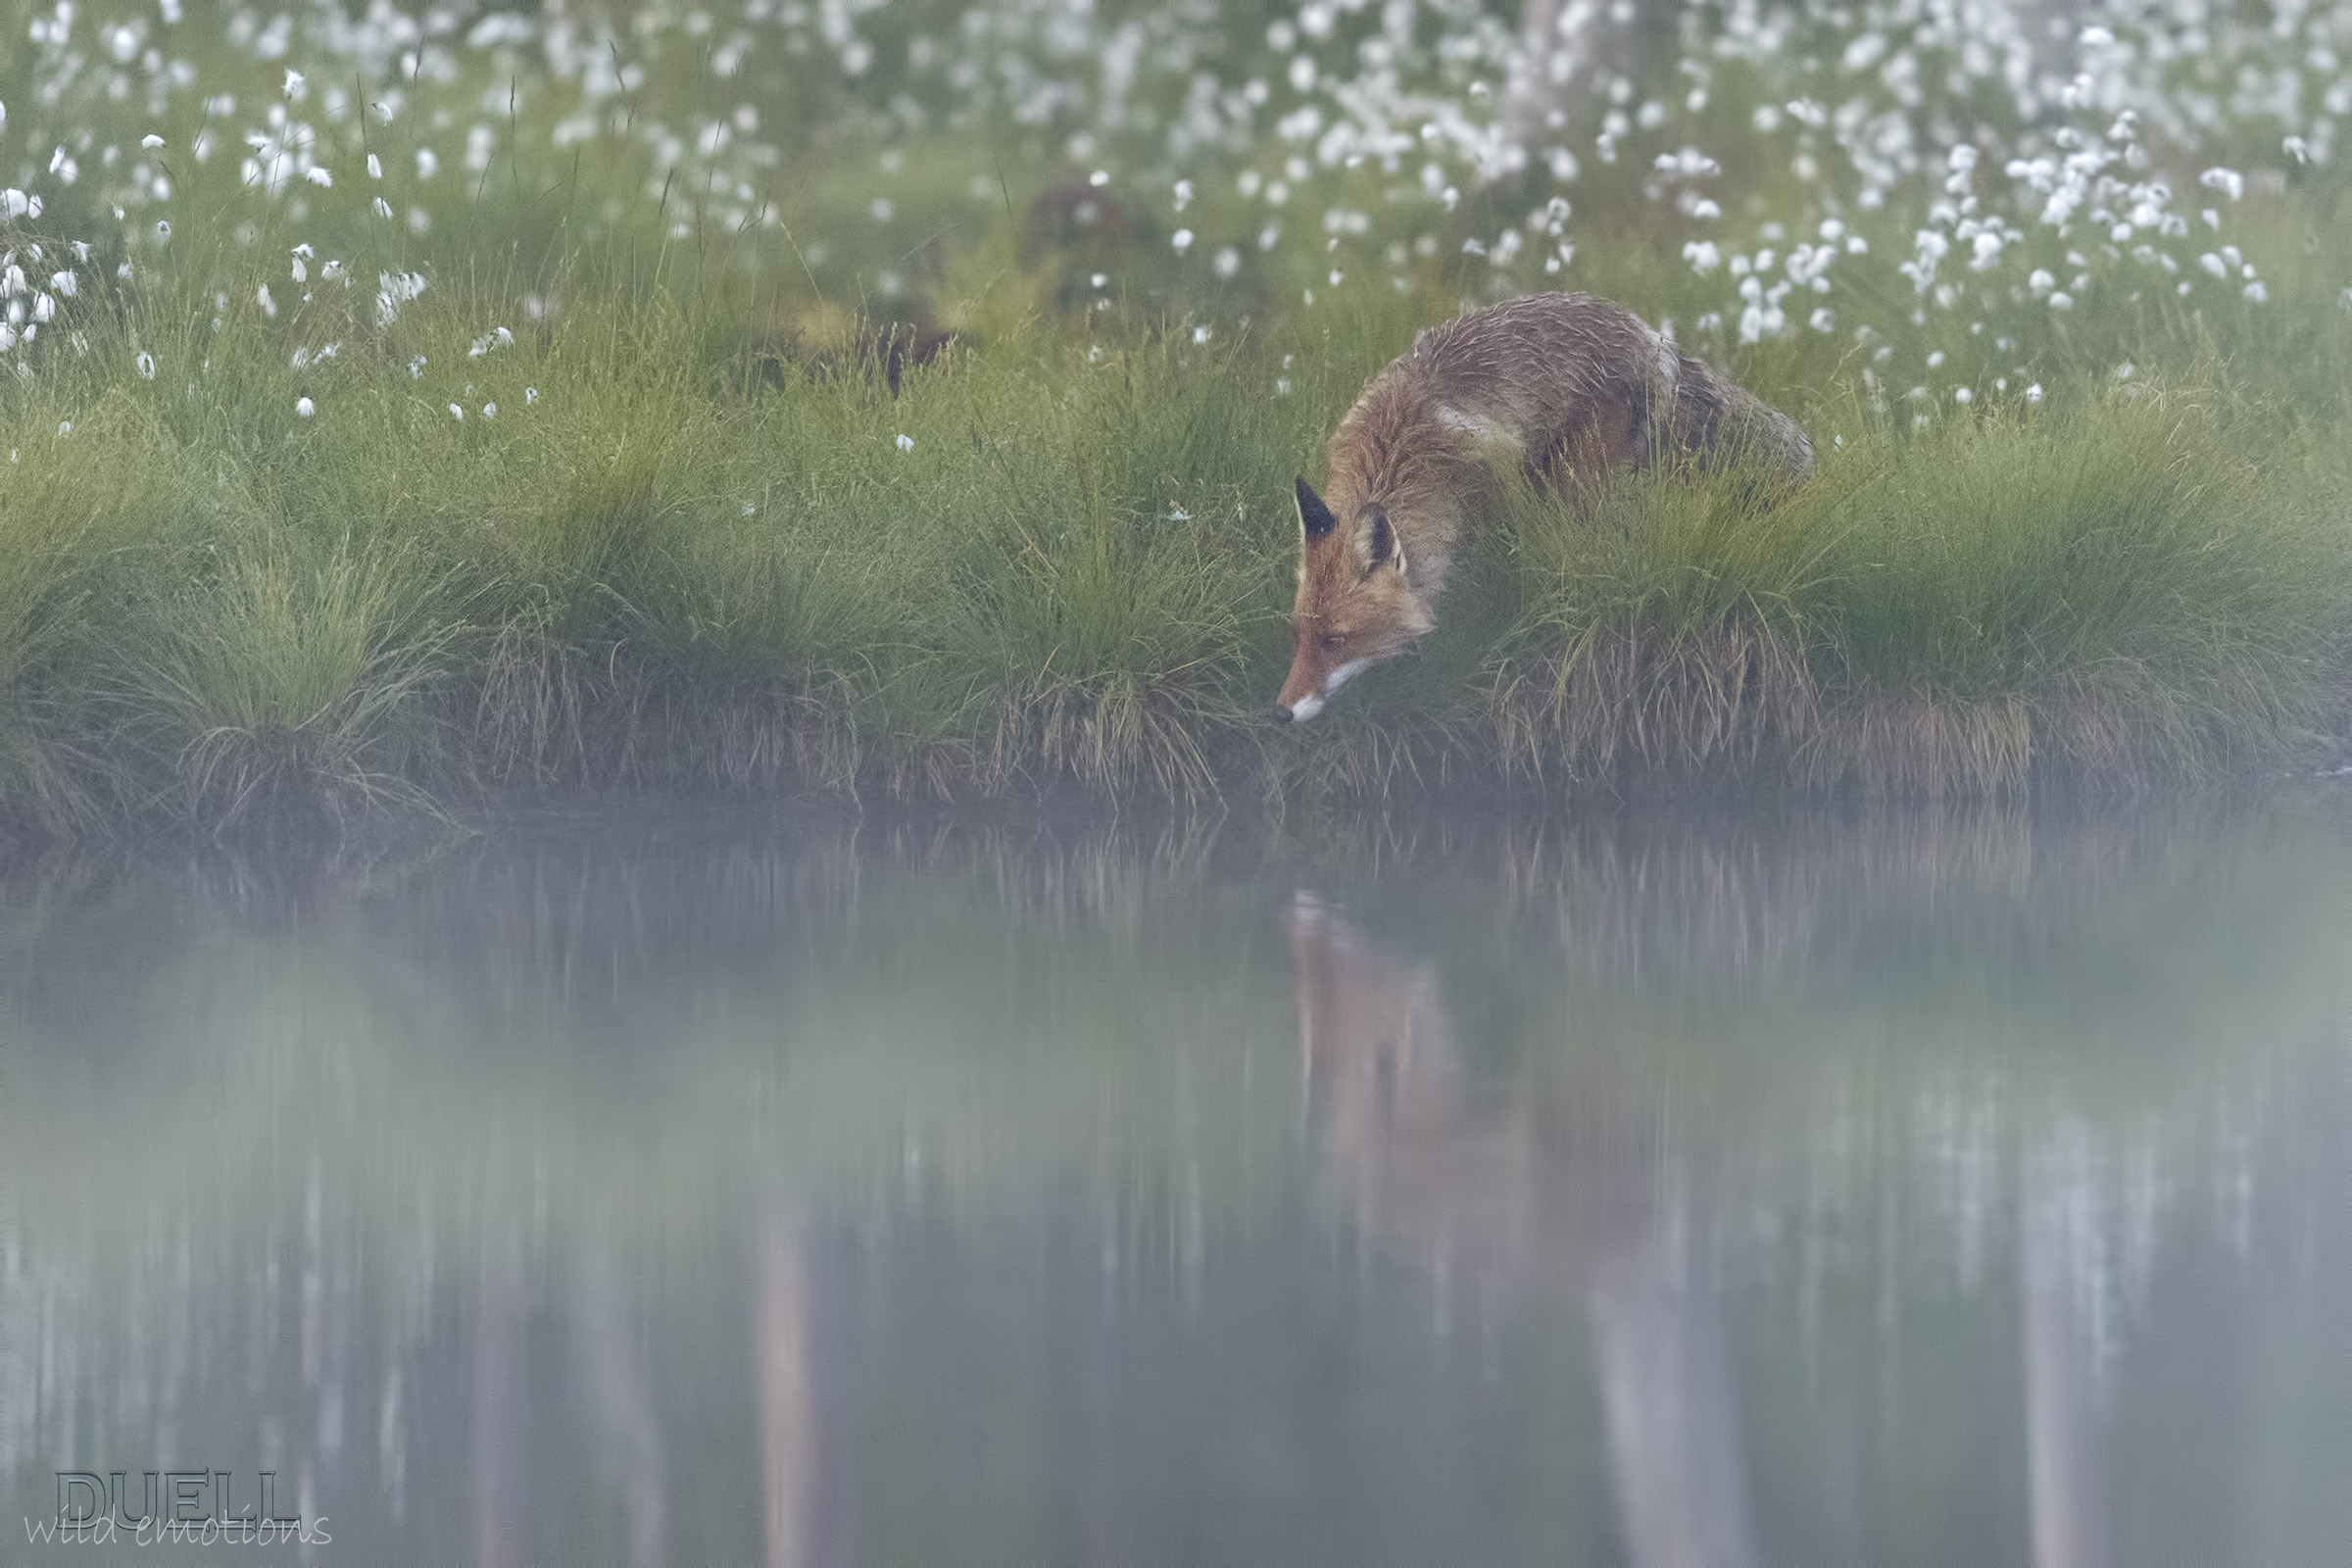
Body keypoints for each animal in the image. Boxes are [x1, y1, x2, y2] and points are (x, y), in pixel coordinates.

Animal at [1274, 291, 1814, 722]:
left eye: (1337, 641)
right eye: (1298, 635)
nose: (1280, 713)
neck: (1402, 445)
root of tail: (1650, 336)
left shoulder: (1499, 499)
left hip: (1575, 485)